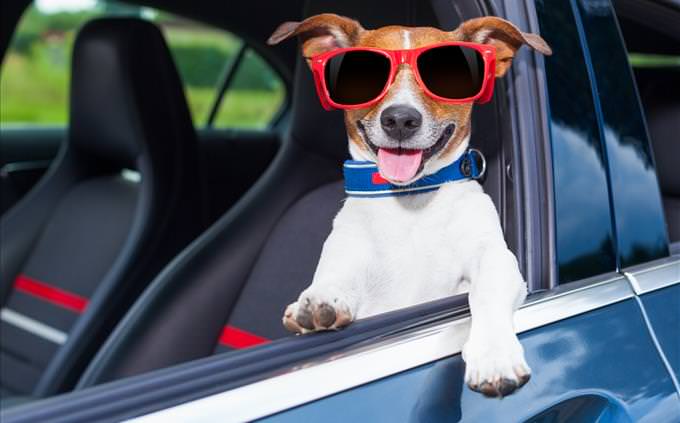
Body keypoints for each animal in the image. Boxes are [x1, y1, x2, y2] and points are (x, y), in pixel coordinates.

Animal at [266, 13, 552, 398]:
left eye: (447, 75)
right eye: (363, 74)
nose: (400, 119)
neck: (411, 203)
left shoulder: (496, 258)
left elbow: (487, 292)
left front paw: (494, 356)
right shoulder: (346, 258)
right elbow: (333, 280)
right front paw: (317, 302)